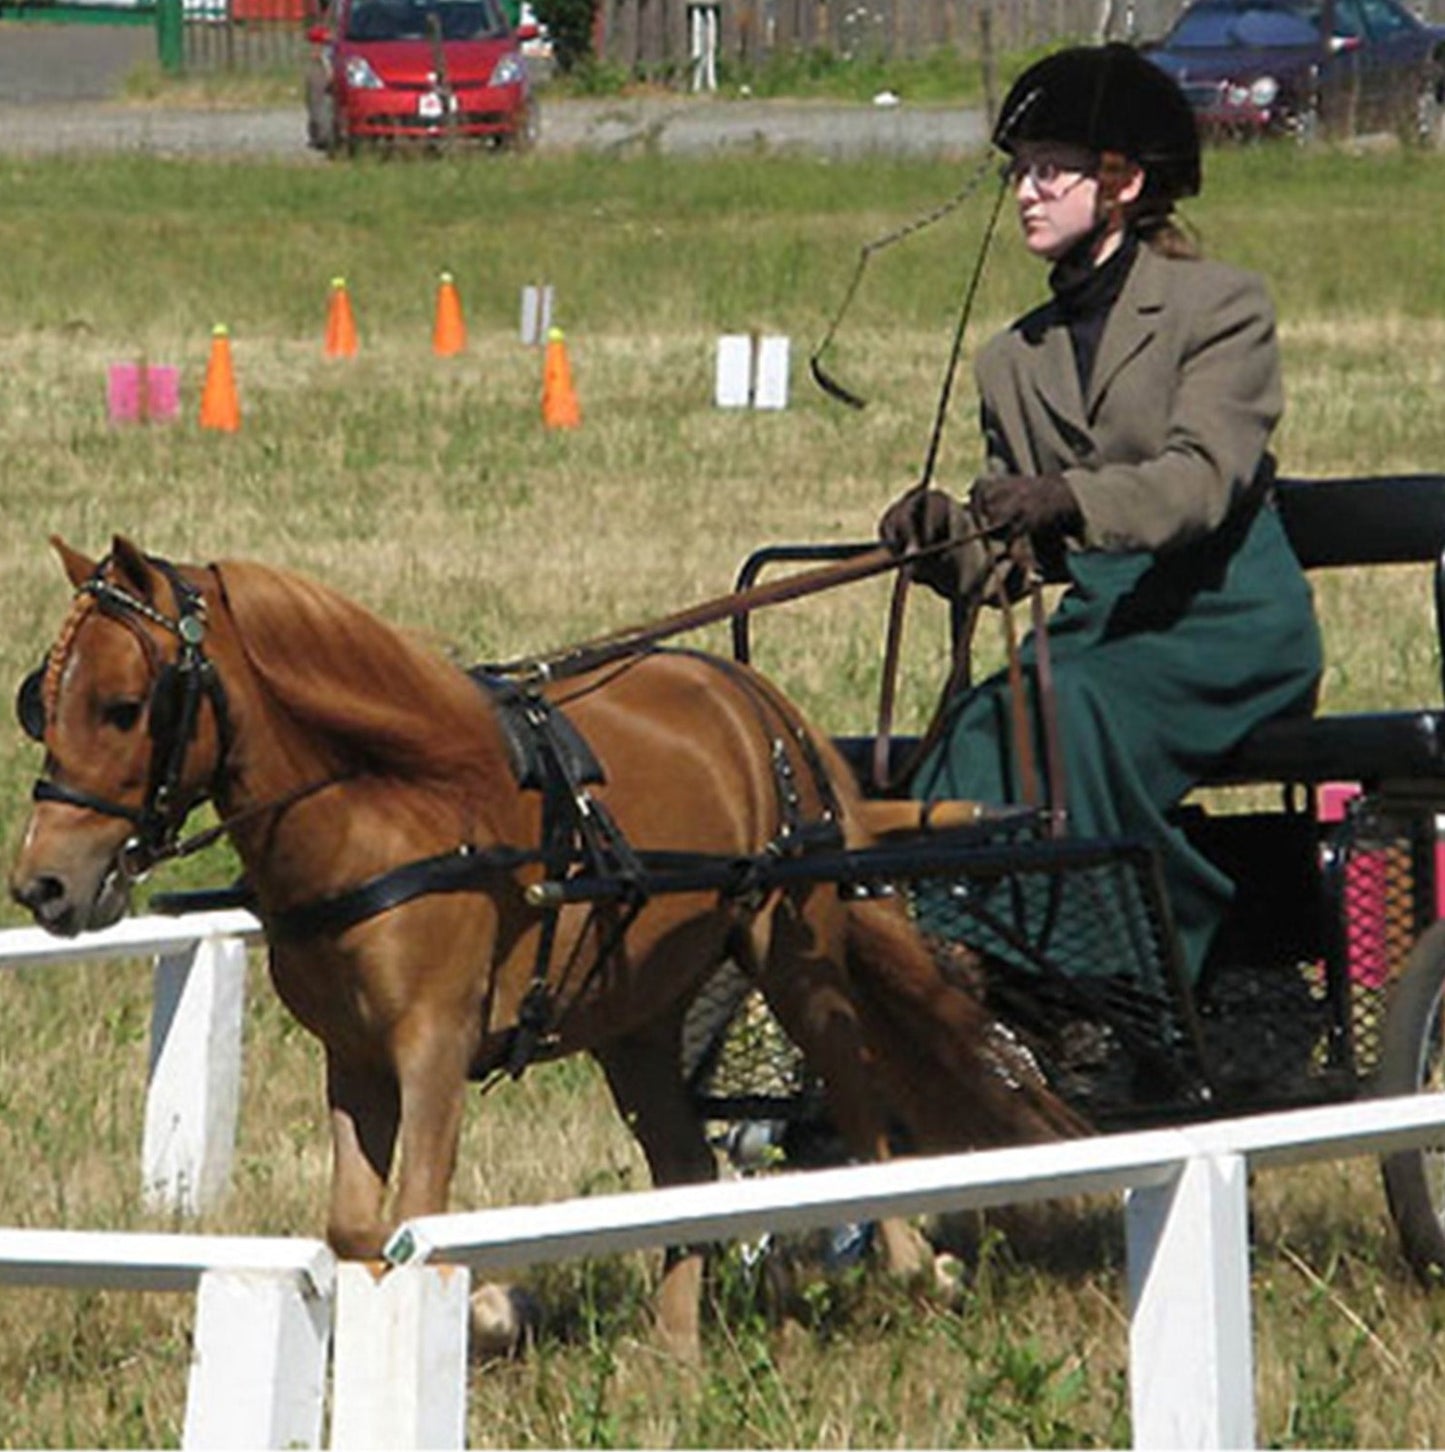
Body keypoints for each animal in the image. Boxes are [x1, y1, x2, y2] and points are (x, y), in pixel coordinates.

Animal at [11, 540, 1074, 1353]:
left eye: (124, 705)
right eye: (42, 701)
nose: (43, 885)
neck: (389, 804)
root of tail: (753, 698)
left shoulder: (434, 1042)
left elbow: (419, 1208)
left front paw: (484, 1306)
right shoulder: (352, 1056)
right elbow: (356, 1222)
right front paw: (468, 1312)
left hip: (795, 953)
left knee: (858, 1106)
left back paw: (912, 1268)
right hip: (634, 1014)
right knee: (684, 1170)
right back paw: (671, 1352)